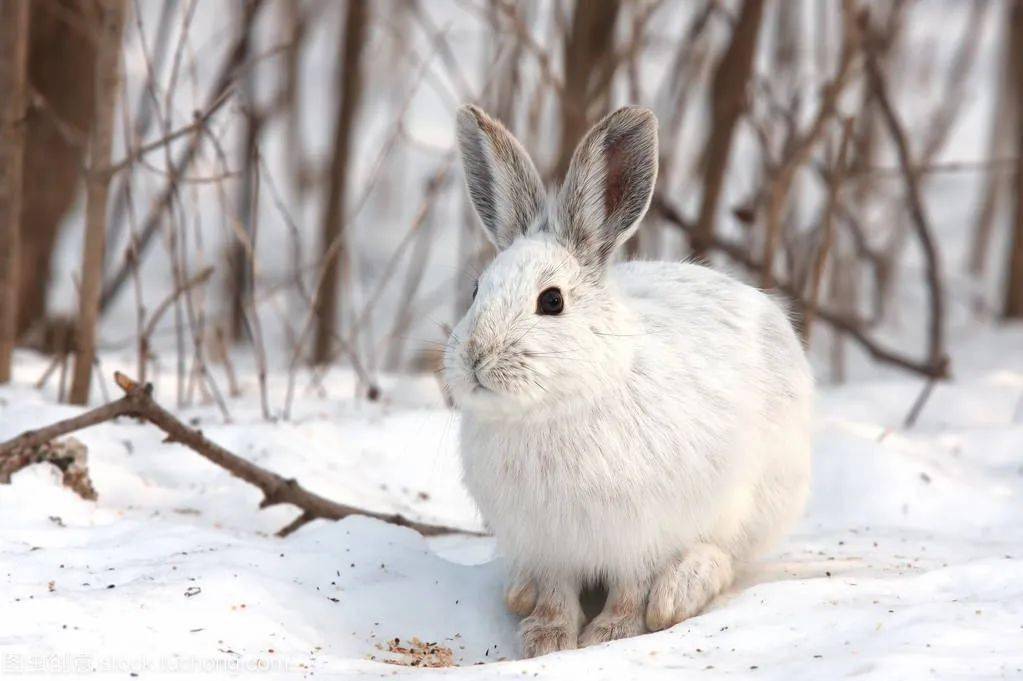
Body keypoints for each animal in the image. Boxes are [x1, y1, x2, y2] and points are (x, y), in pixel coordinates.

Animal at [443, 103, 810, 654]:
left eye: (552, 301)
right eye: (475, 290)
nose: (475, 357)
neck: (554, 407)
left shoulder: (641, 535)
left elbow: (630, 589)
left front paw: (609, 634)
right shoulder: (551, 546)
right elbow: (557, 592)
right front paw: (548, 639)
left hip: (760, 499)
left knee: (726, 556)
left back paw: (679, 592)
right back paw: (520, 592)